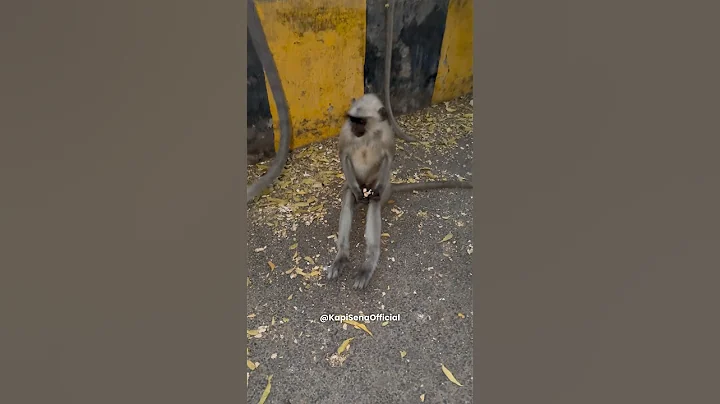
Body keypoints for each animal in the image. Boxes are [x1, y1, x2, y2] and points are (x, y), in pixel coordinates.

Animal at [326, 94, 472, 289]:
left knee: (375, 202)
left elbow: (389, 157)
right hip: (353, 183)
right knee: (349, 199)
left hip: (379, 187)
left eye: (361, 121)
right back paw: (342, 255)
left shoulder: (387, 133)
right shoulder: (346, 132)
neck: (367, 135)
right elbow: (343, 155)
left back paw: (368, 264)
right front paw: (357, 193)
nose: (355, 127)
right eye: (353, 120)